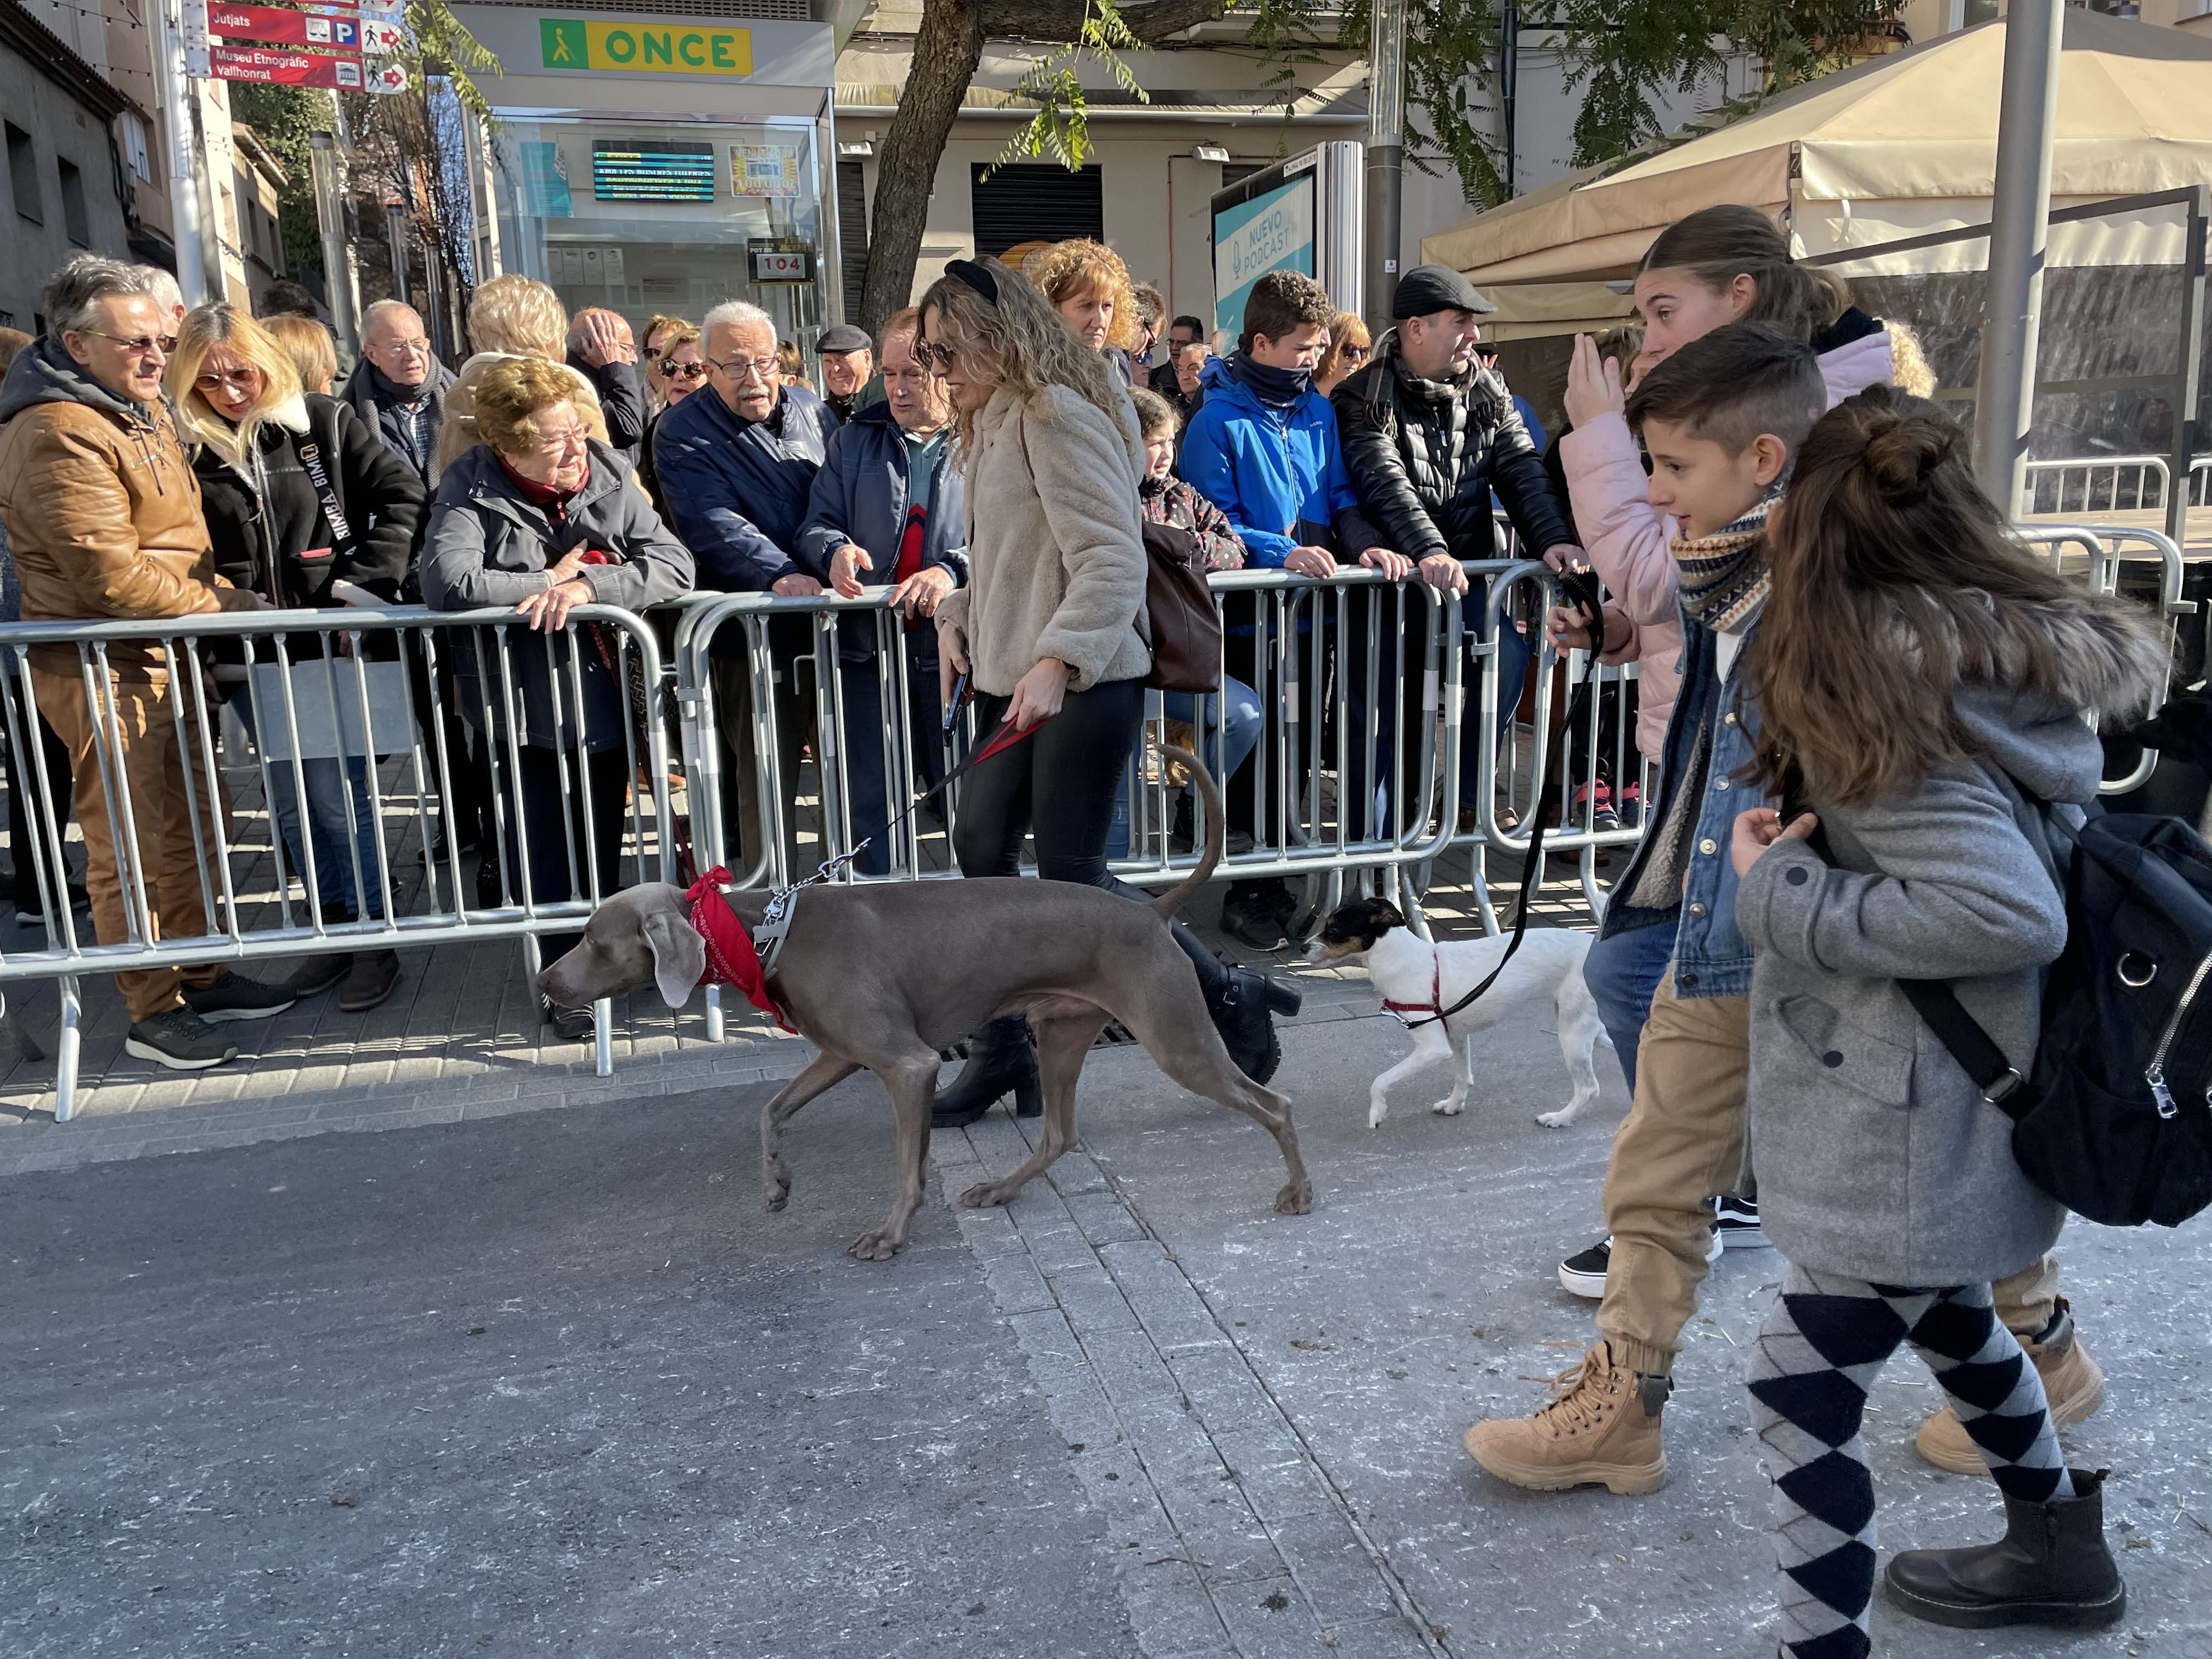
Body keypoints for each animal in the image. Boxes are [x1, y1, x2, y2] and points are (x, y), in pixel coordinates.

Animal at [537, 747, 1300, 1265]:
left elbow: (908, 1164)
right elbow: (770, 1110)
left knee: (1275, 1106)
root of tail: (1152, 912)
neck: (767, 933)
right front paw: (777, 1185)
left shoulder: (907, 1065)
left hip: (1173, 1037)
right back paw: (999, 1189)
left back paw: (1298, 1192)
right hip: (1060, 1027)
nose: (545, 982)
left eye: (593, 940)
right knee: (1060, 1134)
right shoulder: (842, 1054)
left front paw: (891, 1233)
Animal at [1309, 902, 1610, 1141]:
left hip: (1572, 1033)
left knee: (1589, 1088)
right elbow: (1462, 1076)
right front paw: (1454, 1105)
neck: (1401, 959)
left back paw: (1560, 1118)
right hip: (1586, 1026)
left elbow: (1380, 1081)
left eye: (1334, 928)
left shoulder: (1432, 1048)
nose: (1302, 946)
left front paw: (1377, 1112)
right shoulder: (1455, 1037)